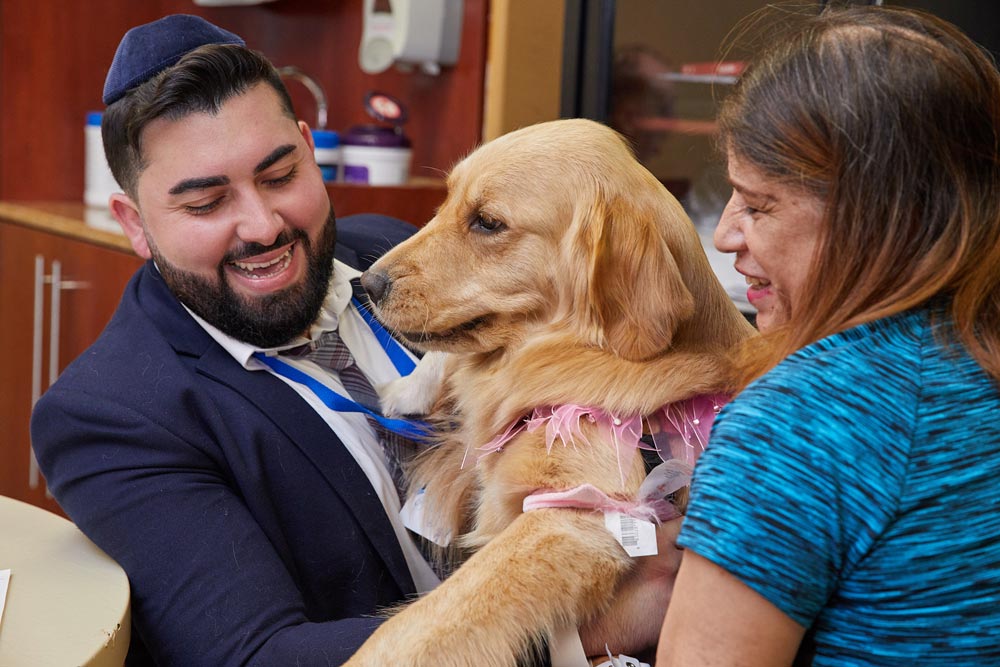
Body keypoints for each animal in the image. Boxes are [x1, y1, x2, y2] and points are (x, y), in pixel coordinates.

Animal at [352, 117, 756, 664]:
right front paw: (410, 387)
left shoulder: (576, 517)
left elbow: (421, 623)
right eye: (446, 201)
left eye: (487, 222)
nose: (367, 285)